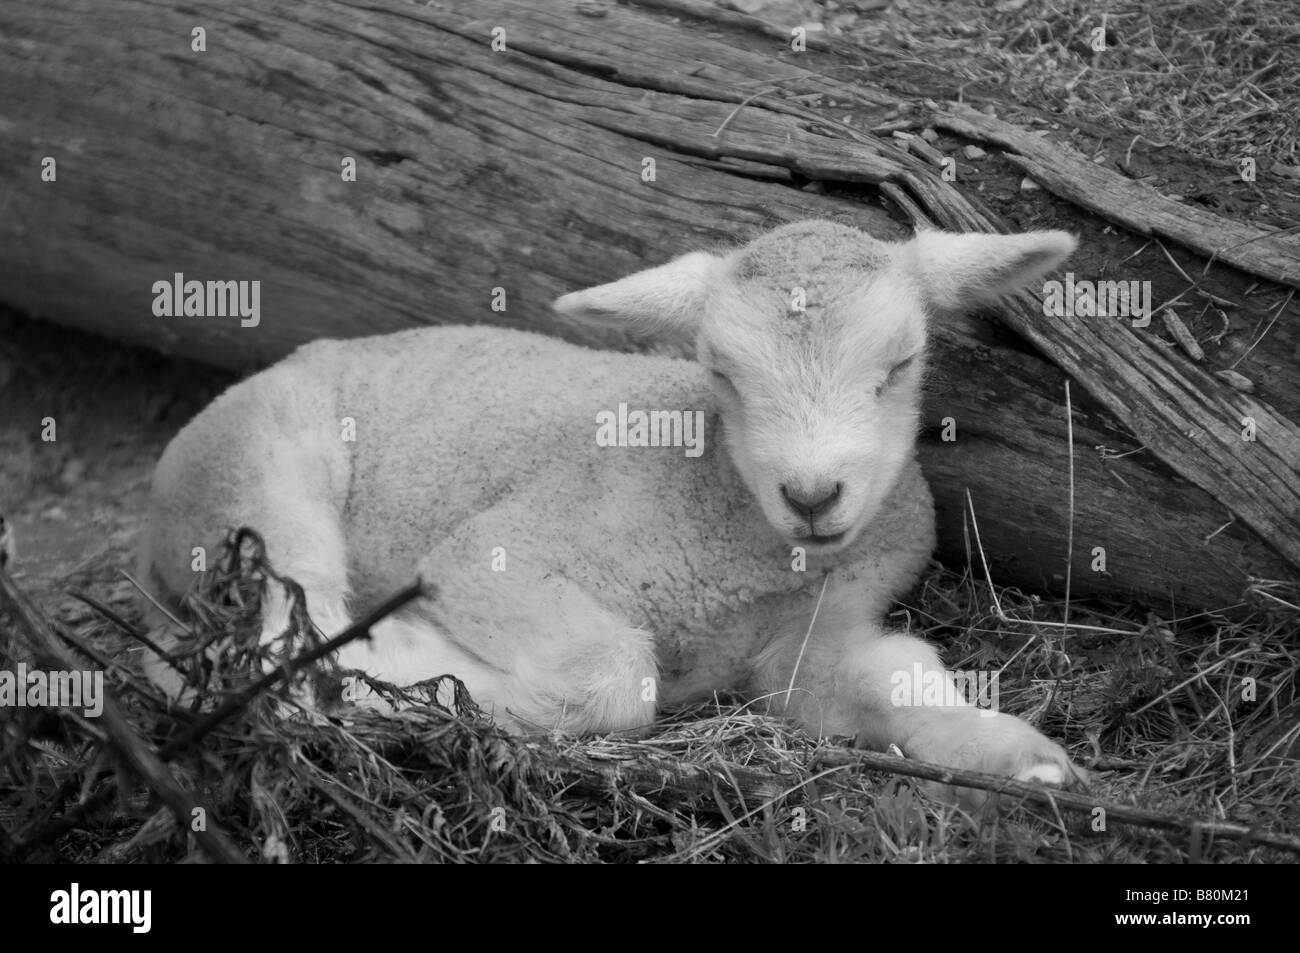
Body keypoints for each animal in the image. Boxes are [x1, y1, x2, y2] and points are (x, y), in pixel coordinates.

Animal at [139, 219, 1086, 797]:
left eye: (902, 363)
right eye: (721, 372)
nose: (813, 495)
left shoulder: (817, 631)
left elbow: (894, 677)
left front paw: (1022, 758)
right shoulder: (494, 553)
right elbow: (616, 675)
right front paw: (438, 677)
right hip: (259, 474)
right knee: (280, 642)